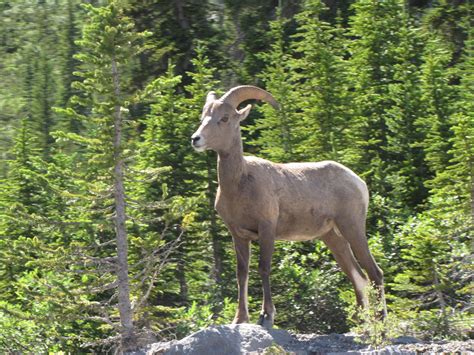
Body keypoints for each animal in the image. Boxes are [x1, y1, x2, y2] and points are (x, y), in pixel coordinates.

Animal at [191, 85, 386, 326]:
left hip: (352, 227)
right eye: (203, 117)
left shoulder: (267, 229)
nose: (196, 139)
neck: (240, 183)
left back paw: (381, 323)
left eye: (224, 118)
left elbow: (264, 268)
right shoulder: (239, 235)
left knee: (375, 272)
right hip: (333, 237)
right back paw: (360, 324)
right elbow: (242, 273)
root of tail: (358, 182)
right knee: (359, 277)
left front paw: (266, 316)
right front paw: (240, 319)